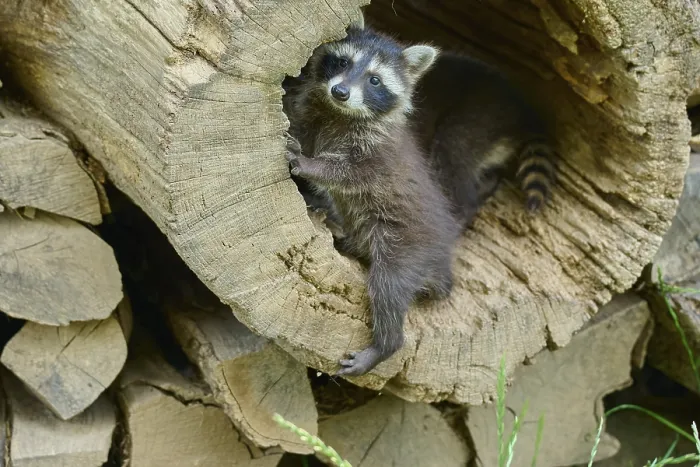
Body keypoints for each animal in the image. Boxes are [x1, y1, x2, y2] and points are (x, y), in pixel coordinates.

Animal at [283, 17, 461, 376]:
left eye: (375, 80)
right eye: (343, 62)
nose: (340, 91)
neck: (338, 112)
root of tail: (440, 259)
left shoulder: (374, 155)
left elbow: (347, 174)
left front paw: (311, 165)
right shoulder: (311, 114)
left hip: (405, 249)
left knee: (388, 291)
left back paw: (384, 345)